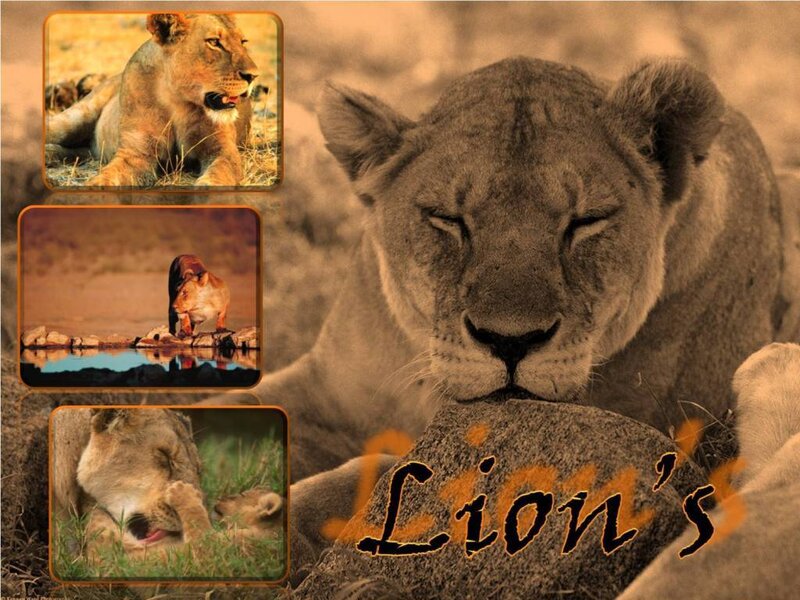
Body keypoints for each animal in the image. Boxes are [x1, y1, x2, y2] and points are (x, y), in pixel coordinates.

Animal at [45, 13, 258, 187]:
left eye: (243, 41)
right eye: (214, 42)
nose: (253, 76)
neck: (177, 102)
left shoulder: (222, 149)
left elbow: (221, 172)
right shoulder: (136, 153)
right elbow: (107, 177)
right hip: (75, 118)